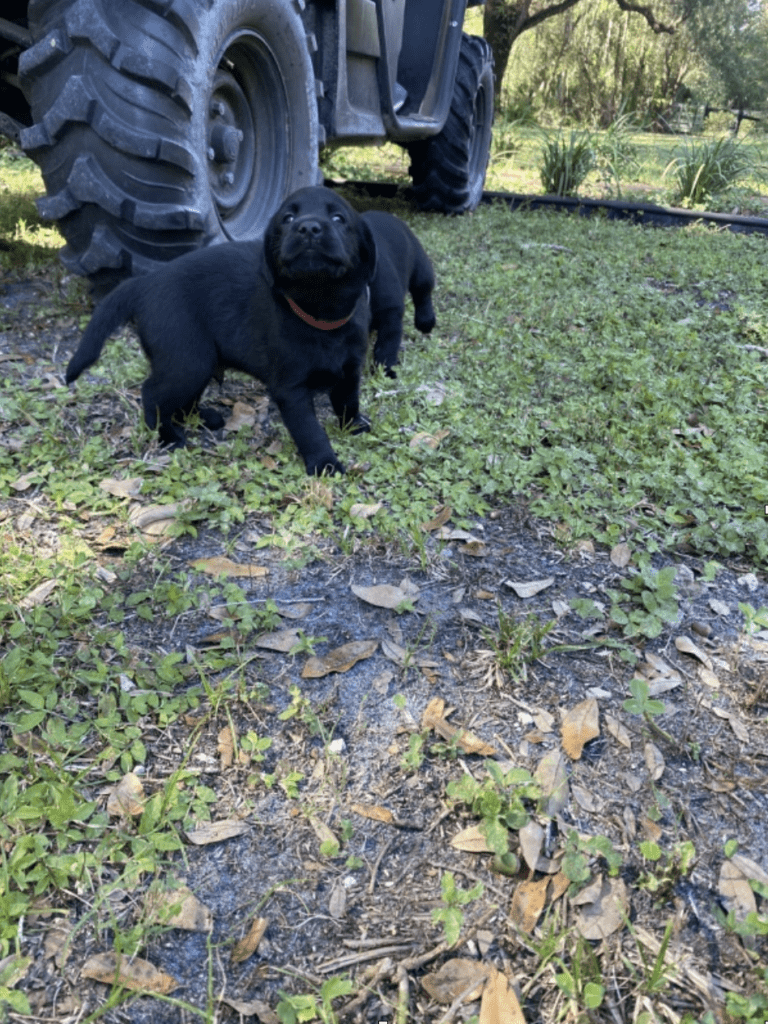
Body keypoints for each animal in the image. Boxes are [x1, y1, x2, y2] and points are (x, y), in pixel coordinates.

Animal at [362, 209, 436, 378]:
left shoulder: (391, 313)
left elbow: (387, 345)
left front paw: (386, 371)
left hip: (419, 265)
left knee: (423, 292)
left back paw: (426, 321)